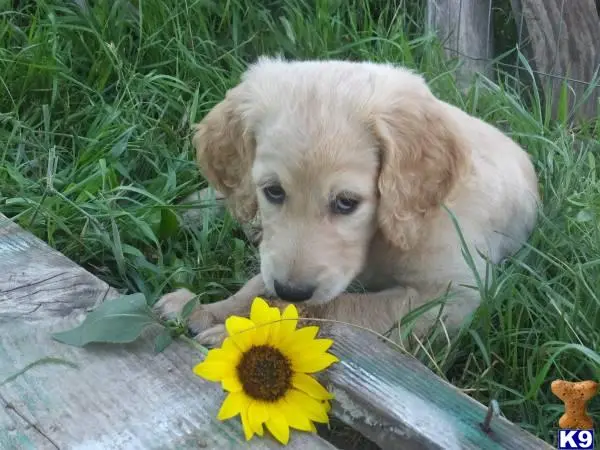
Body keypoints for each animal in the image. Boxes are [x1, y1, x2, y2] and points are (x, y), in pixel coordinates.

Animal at [156, 56, 540, 344]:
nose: (293, 289)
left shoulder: (454, 294)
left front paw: (243, 333)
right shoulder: (277, 257)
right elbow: (258, 285)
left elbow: (337, 308)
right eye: (273, 191)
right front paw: (205, 310)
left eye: (346, 202)